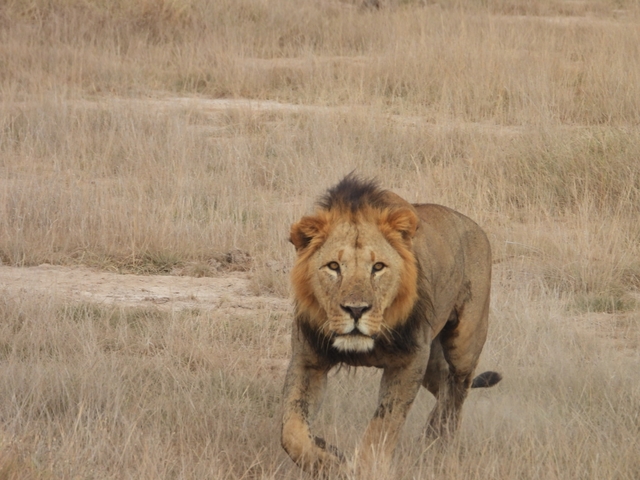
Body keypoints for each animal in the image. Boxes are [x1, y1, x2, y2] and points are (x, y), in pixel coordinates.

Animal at [281, 175, 501, 476]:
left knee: (456, 393)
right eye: (334, 266)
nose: (356, 309)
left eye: (378, 267)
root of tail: (473, 225)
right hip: (431, 361)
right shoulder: (308, 359)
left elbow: (384, 424)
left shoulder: (410, 359)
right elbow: (291, 431)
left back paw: (436, 443)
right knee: (445, 385)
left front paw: (366, 468)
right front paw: (331, 460)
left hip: (464, 344)